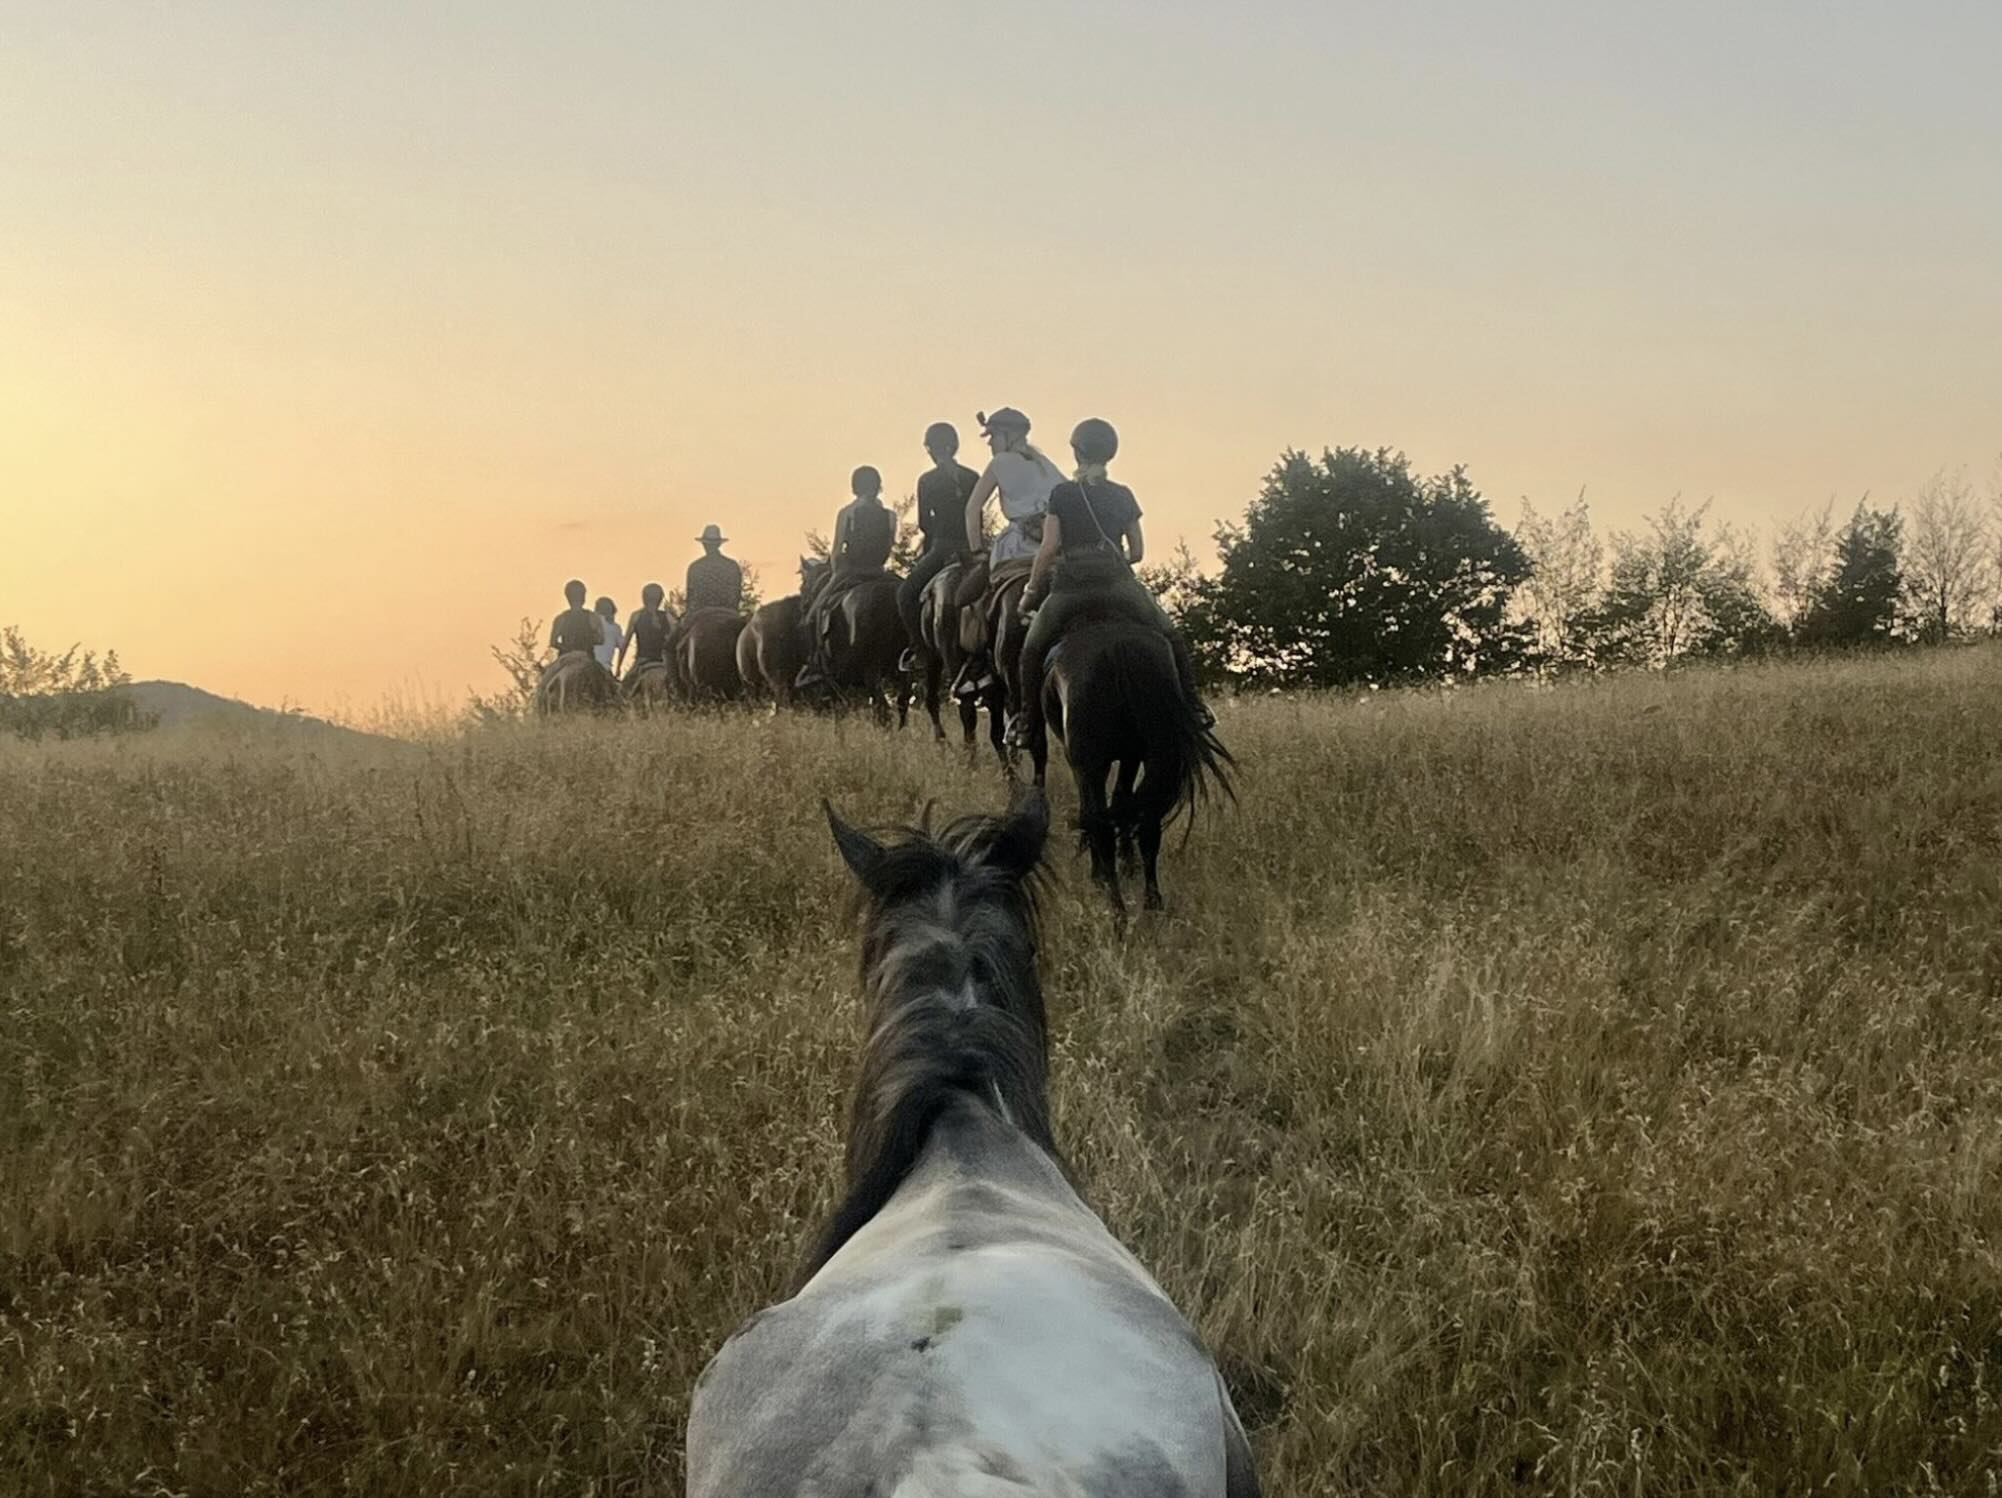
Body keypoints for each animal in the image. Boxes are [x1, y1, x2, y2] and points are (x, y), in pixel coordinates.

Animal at [1041, 616, 1225, 913]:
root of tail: (1118, 649)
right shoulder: (1132, 757)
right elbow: (1123, 799)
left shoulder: (1086, 766)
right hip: (1149, 756)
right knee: (1147, 824)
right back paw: (1152, 903)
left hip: (1091, 764)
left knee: (1100, 824)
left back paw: (1116, 908)